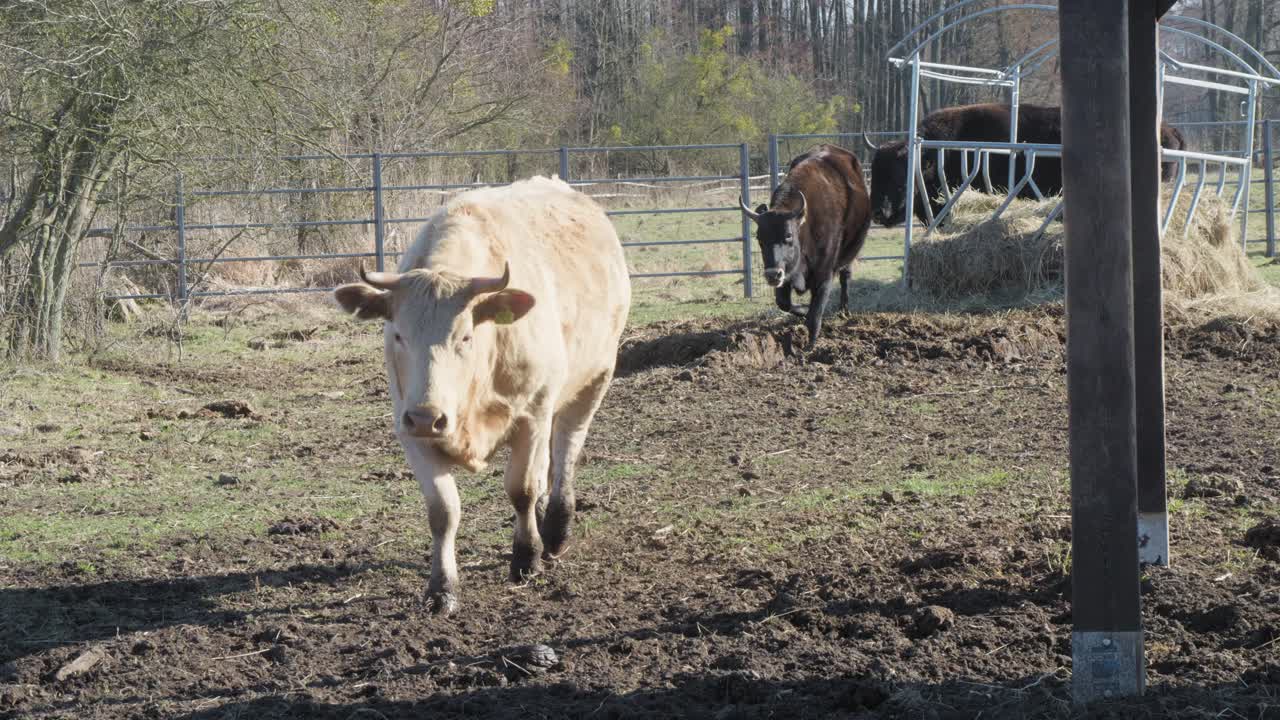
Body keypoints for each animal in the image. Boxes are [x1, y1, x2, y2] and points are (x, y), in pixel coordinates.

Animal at [333, 176, 631, 615]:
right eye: (399, 334)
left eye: (465, 336)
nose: (428, 417)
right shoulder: (409, 430)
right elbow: (443, 510)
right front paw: (442, 589)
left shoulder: (532, 414)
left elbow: (521, 489)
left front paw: (526, 558)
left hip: (594, 378)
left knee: (566, 450)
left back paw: (556, 530)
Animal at [740, 144, 871, 347]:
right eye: (759, 239)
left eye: (788, 236)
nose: (772, 275)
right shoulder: (787, 274)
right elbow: (784, 303)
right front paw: (802, 310)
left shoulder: (824, 273)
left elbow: (815, 315)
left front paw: (810, 346)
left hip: (850, 250)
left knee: (846, 276)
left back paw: (844, 310)